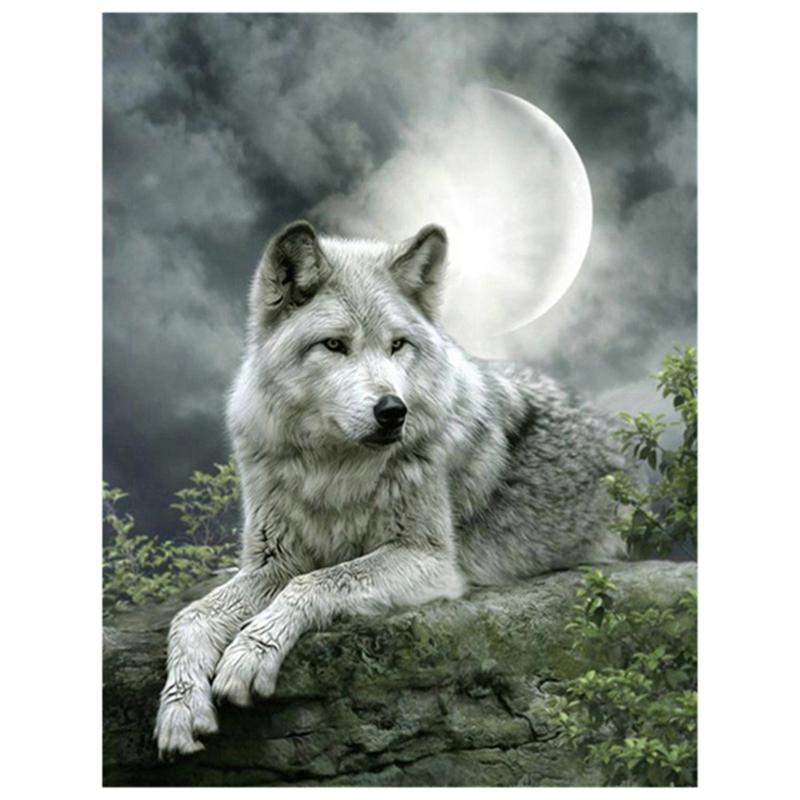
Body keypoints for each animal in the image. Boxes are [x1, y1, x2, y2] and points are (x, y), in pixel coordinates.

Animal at [154, 220, 625, 758]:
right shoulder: (273, 561)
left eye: (398, 345)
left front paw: (249, 653)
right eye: (334, 345)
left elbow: (316, 582)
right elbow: (190, 617)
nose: (393, 411)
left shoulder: (429, 560)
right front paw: (179, 709)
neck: (333, 470)